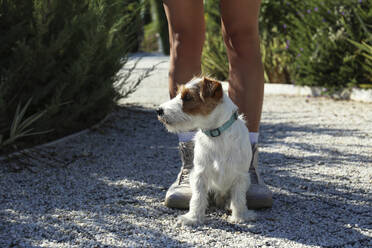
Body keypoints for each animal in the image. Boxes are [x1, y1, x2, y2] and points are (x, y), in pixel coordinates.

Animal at [156, 76, 256, 226]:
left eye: (188, 97)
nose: (158, 110)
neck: (217, 135)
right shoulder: (200, 174)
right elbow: (197, 197)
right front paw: (193, 218)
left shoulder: (240, 176)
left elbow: (239, 198)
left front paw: (240, 216)